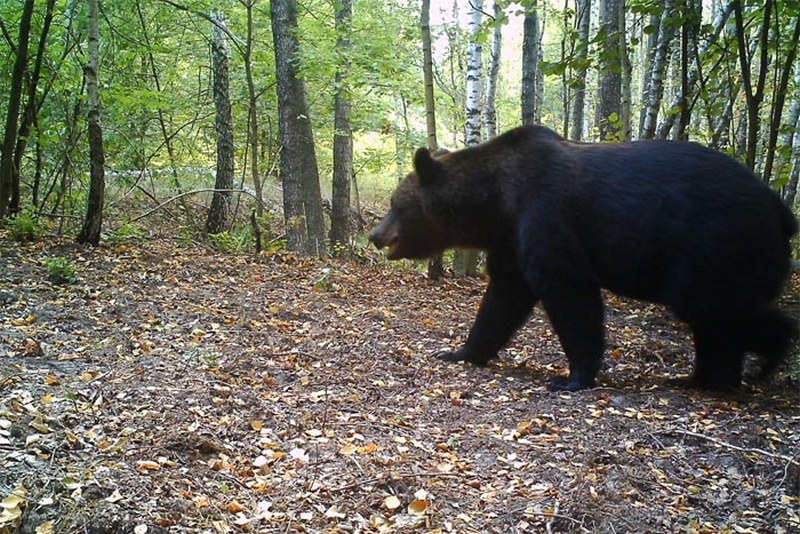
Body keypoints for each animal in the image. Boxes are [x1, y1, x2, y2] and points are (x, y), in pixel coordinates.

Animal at [372, 125, 796, 394]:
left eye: (395, 204)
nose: (375, 234)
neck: (497, 201)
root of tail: (781, 211)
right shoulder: (511, 238)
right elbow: (503, 299)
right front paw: (459, 351)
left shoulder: (544, 213)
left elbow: (568, 291)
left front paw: (571, 377)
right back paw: (707, 377)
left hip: (712, 243)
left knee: (710, 305)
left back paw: (760, 359)